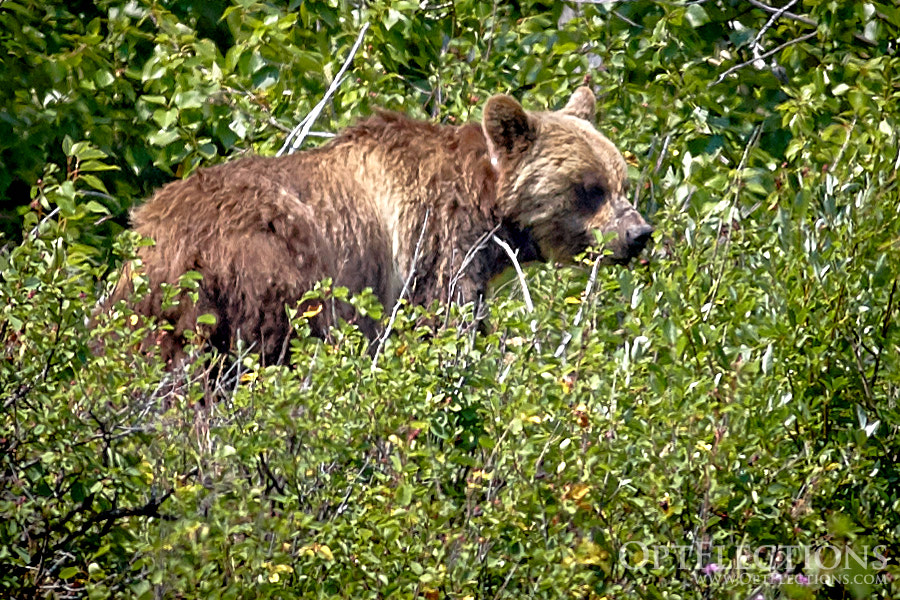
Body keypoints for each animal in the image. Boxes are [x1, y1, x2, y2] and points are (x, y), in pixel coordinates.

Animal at [111, 86, 652, 364]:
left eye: (620, 180)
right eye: (589, 188)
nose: (639, 234)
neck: (488, 213)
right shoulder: (434, 244)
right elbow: (444, 320)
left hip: (145, 305)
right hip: (265, 271)